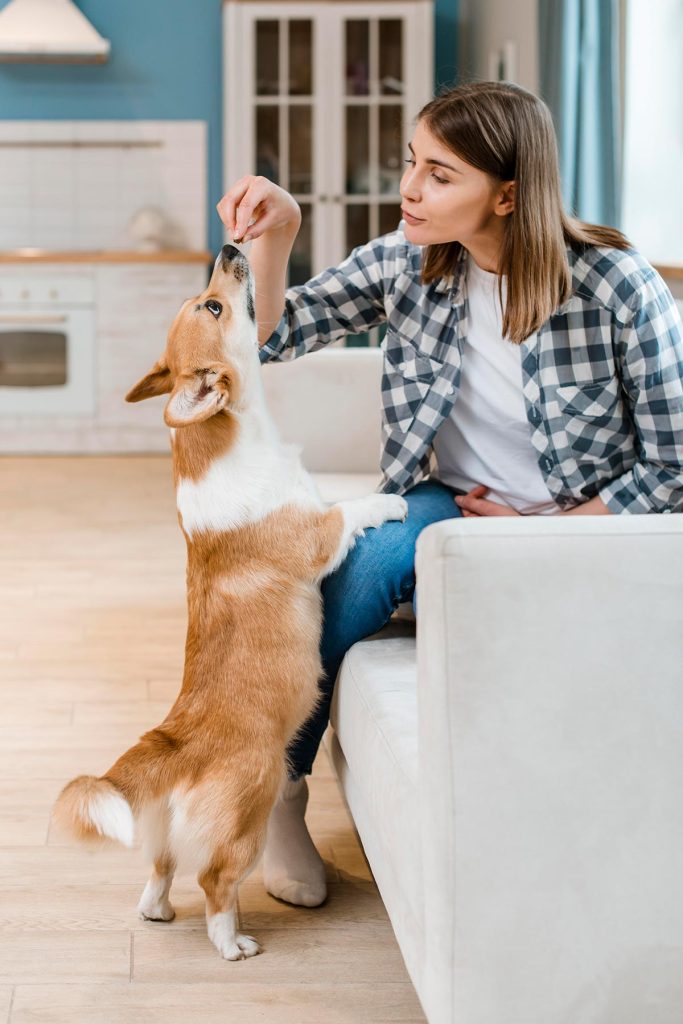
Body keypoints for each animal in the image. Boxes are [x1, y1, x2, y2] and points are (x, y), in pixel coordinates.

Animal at [53, 243, 409, 962]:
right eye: (213, 306)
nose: (230, 247)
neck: (232, 436)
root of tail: (171, 746)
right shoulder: (315, 535)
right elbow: (349, 510)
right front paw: (391, 501)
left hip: (166, 839)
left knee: (160, 870)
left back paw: (159, 910)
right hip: (248, 816)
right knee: (215, 882)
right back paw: (233, 941)